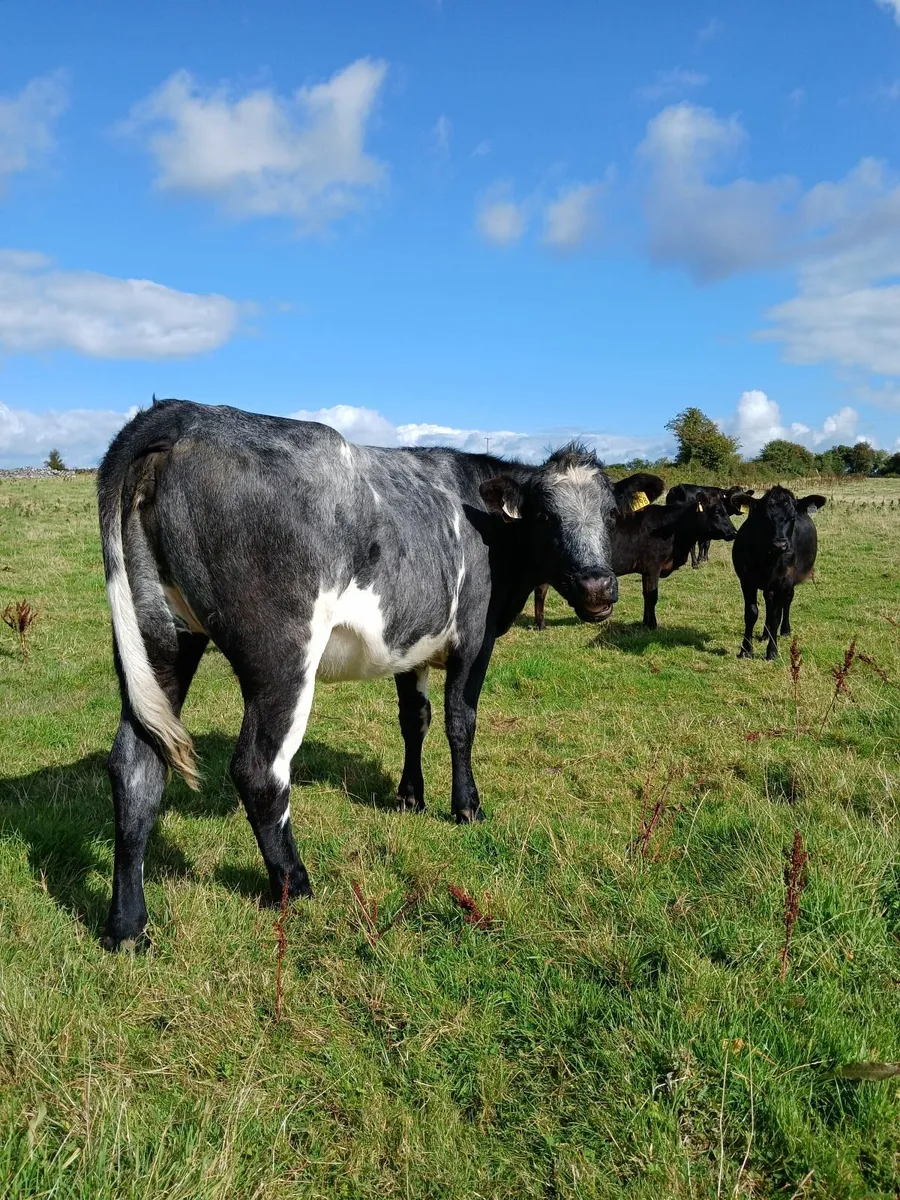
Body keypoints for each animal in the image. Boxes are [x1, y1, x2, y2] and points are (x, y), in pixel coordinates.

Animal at [97, 398, 661, 949]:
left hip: (161, 637)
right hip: (282, 654)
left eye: (611, 514)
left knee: (136, 764)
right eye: (544, 515)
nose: (597, 587)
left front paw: (410, 798)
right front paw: (467, 807)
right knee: (258, 770)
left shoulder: (410, 646)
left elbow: (415, 719)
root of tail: (182, 412)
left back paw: (127, 926)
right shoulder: (473, 639)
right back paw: (296, 883)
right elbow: (460, 722)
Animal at [534, 487, 740, 631]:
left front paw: (645, 622)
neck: (673, 529)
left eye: (725, 510)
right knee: (541, 591)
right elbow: (652, 596)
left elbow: (647, 596)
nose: (733, 532)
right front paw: (652, 625)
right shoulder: (652, 566)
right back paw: (540, 624)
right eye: (716, 511)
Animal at [732, 486, 826, 660]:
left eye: (792, 517)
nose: (780, 545)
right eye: (764, 517)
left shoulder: (784, 582)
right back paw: (765, 634)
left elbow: (776, 615)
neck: (767, 558)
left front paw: (772, 651)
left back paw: (784, 631)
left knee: (786, 602)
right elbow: (751, 613)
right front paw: (746, 650)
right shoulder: (747, 580)